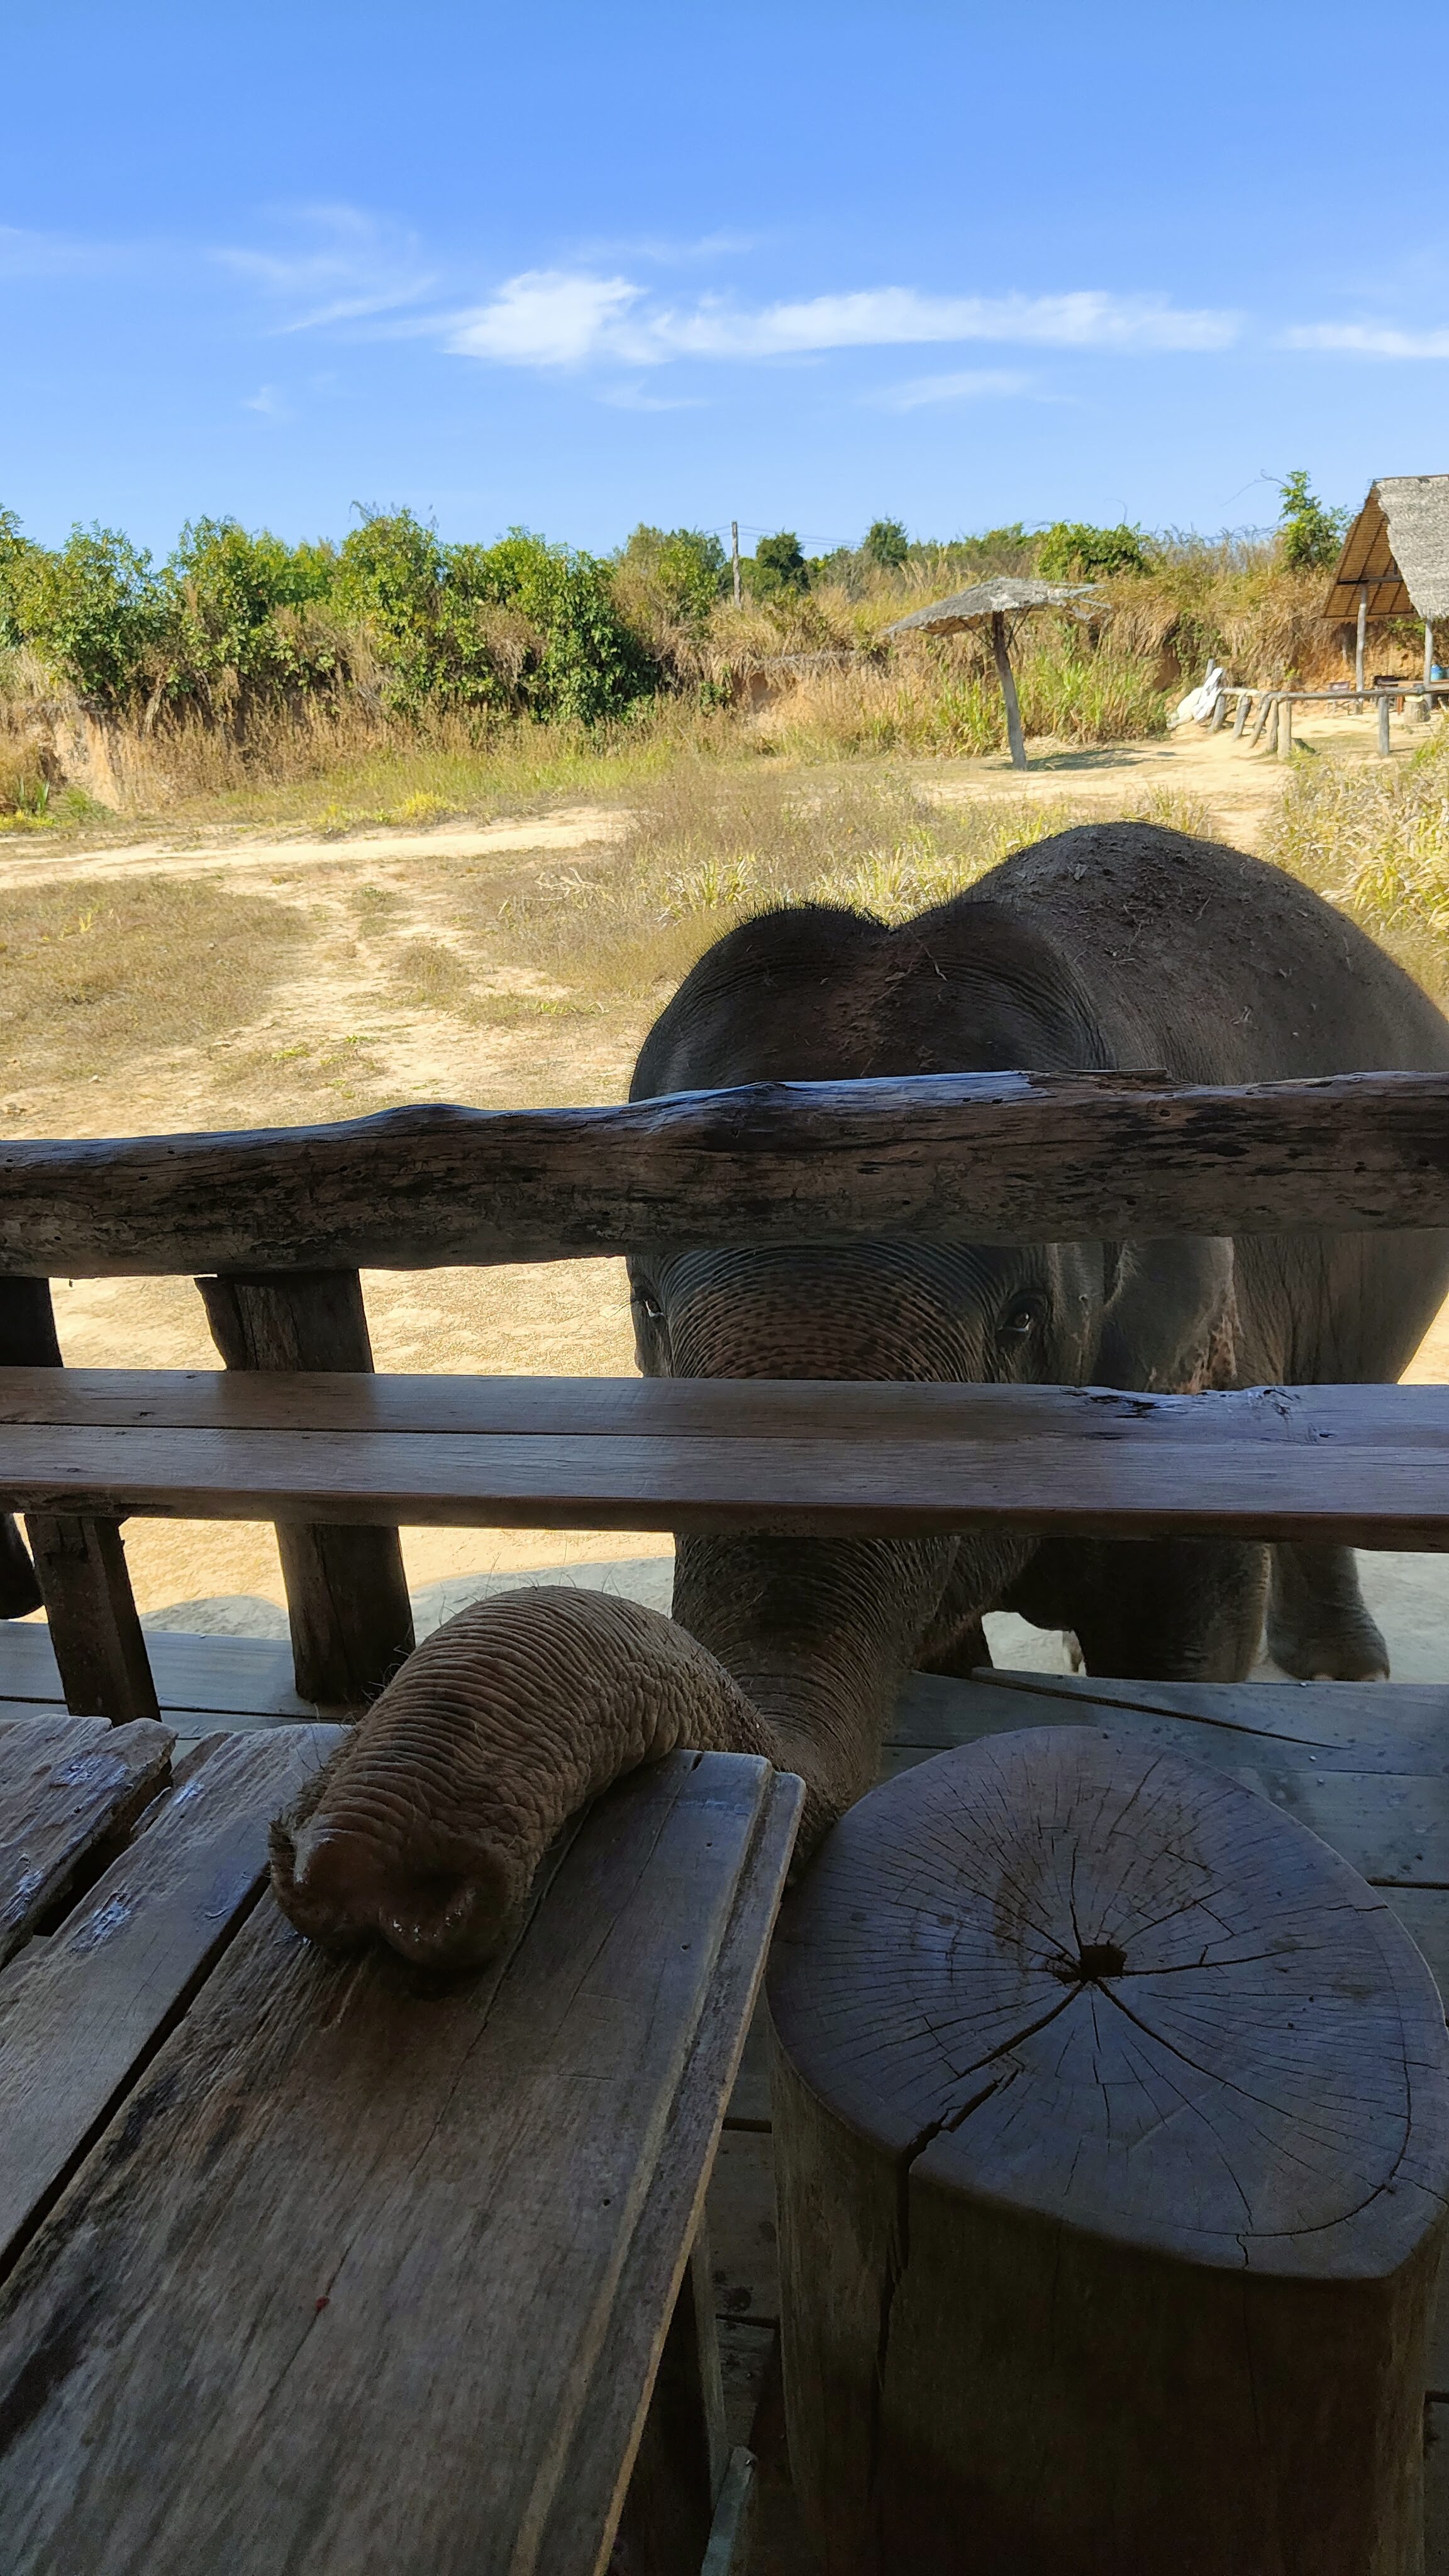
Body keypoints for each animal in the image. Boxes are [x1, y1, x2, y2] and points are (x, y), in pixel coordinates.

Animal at [273, 821, 1449, 1965]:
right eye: (646, 1307)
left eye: (1020, 1323)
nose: (351, 1868)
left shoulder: (1183, 1386)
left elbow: (1187, 1638)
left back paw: (1338, 1675)